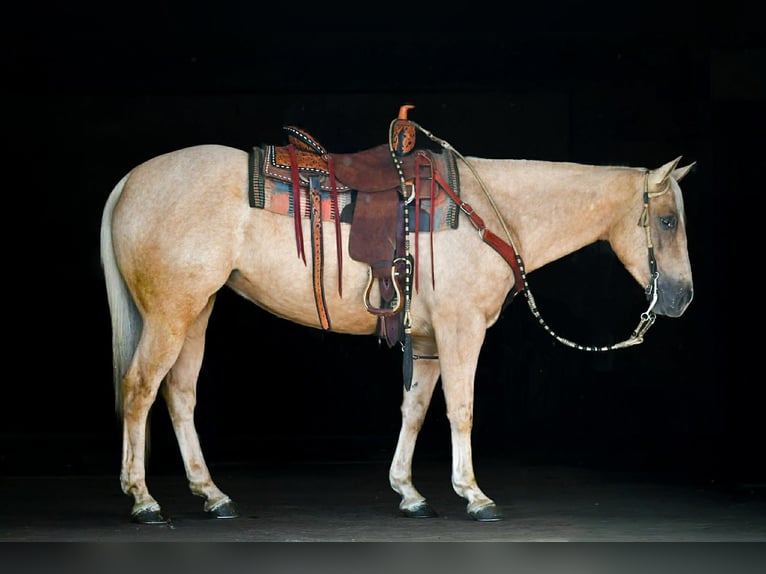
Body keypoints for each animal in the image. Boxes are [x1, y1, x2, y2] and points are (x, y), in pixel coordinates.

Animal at [100, 111, 694, 524]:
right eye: (666, 220)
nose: (682, 299)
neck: (490, 210)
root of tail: (129, 181)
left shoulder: (427, 339)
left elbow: (414, 410)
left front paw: (409, 493)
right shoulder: (460, 330)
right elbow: (461, 411)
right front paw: (474, 495)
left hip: (196, 311)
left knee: (179, 395)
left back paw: (213, 495)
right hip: (169, 313)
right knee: (139, 389)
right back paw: (144, 501)